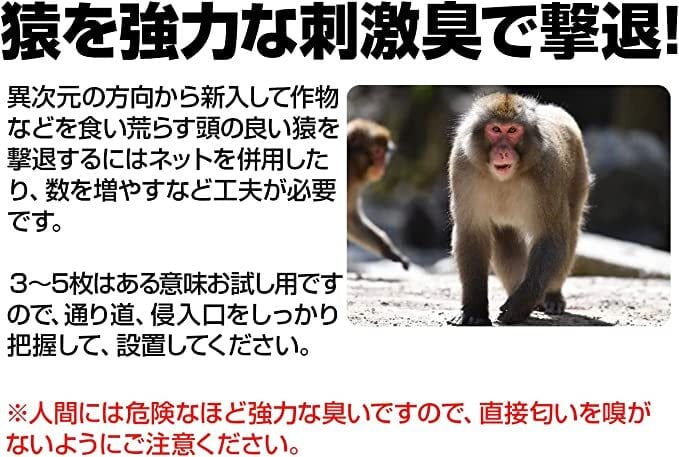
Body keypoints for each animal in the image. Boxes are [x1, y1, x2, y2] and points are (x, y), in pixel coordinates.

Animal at [449, 93, 591, 325]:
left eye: (513, 131)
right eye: (496, 129)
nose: (503, 152)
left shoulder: (548, 171)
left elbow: (551, 237)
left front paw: (520, 306)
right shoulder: (462, 166)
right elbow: (471, 234)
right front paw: (473, 310)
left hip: (579, 173)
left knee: (569, 229)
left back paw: (550, 296)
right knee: (506, 237)